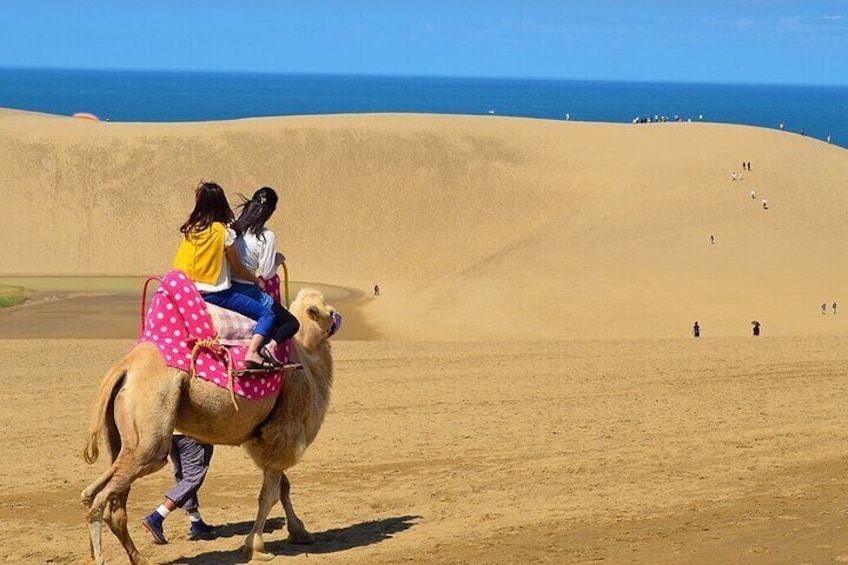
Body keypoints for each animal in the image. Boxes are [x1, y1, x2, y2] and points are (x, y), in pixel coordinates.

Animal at [81, 288, 336, 564]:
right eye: (329, 311)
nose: (336, 318)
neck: (306, 357)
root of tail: (125, 366)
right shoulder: (284, 431)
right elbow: (268, 496)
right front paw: (256, 547)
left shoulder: (266, 441)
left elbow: (283, 488)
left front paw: (300, 532)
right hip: (150, 434)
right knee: (102, 499)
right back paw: (102, 557)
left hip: (124, 439)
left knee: (101, 498)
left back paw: (137, 557)